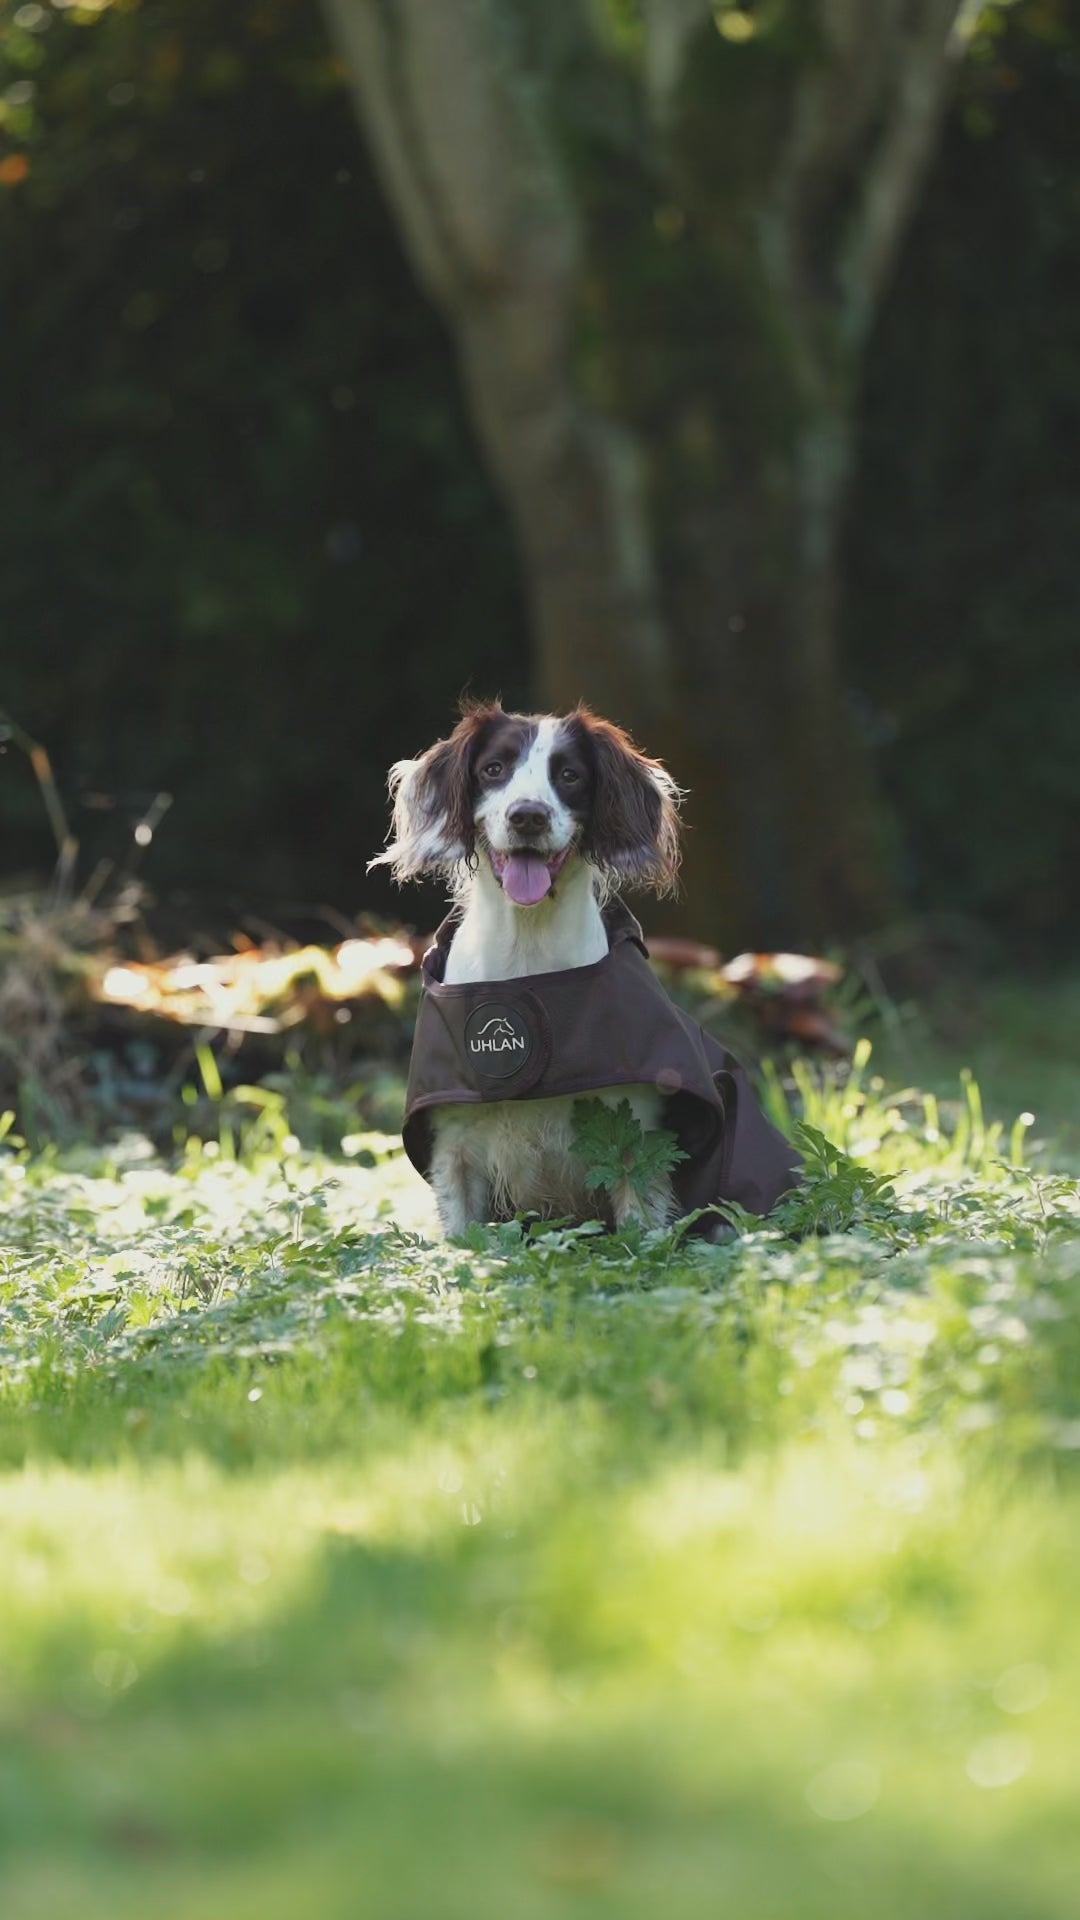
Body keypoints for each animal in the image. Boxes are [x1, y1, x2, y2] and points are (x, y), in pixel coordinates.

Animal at [368, 702, 680, 1228]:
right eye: (494, 769)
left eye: (570, 775)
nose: (528, 816)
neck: (526, 949)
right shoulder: (454, 1146)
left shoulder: (633, 1135)